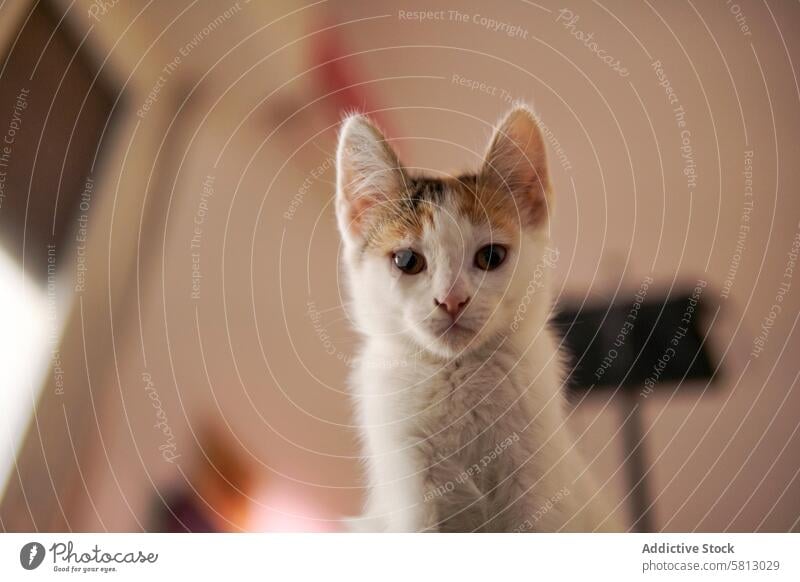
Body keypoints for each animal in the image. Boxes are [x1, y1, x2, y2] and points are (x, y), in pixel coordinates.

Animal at [334, 104, 620, 532]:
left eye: (491, 257)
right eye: (407, 260)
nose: (452, 300)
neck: (456, 373)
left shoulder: (537, 482)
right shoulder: (409, 491)